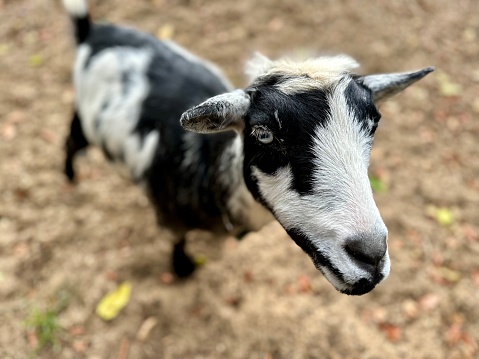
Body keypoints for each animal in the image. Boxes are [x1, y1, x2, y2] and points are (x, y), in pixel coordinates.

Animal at [62, 0, 434, 296]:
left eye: (373, 125)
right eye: (264, 134)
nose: (371, 257)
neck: (208, 166)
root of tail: (93, 31)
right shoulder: (169, 218)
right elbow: (177, 240)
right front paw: (183, 268)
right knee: (71, 139)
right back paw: (69, 176)